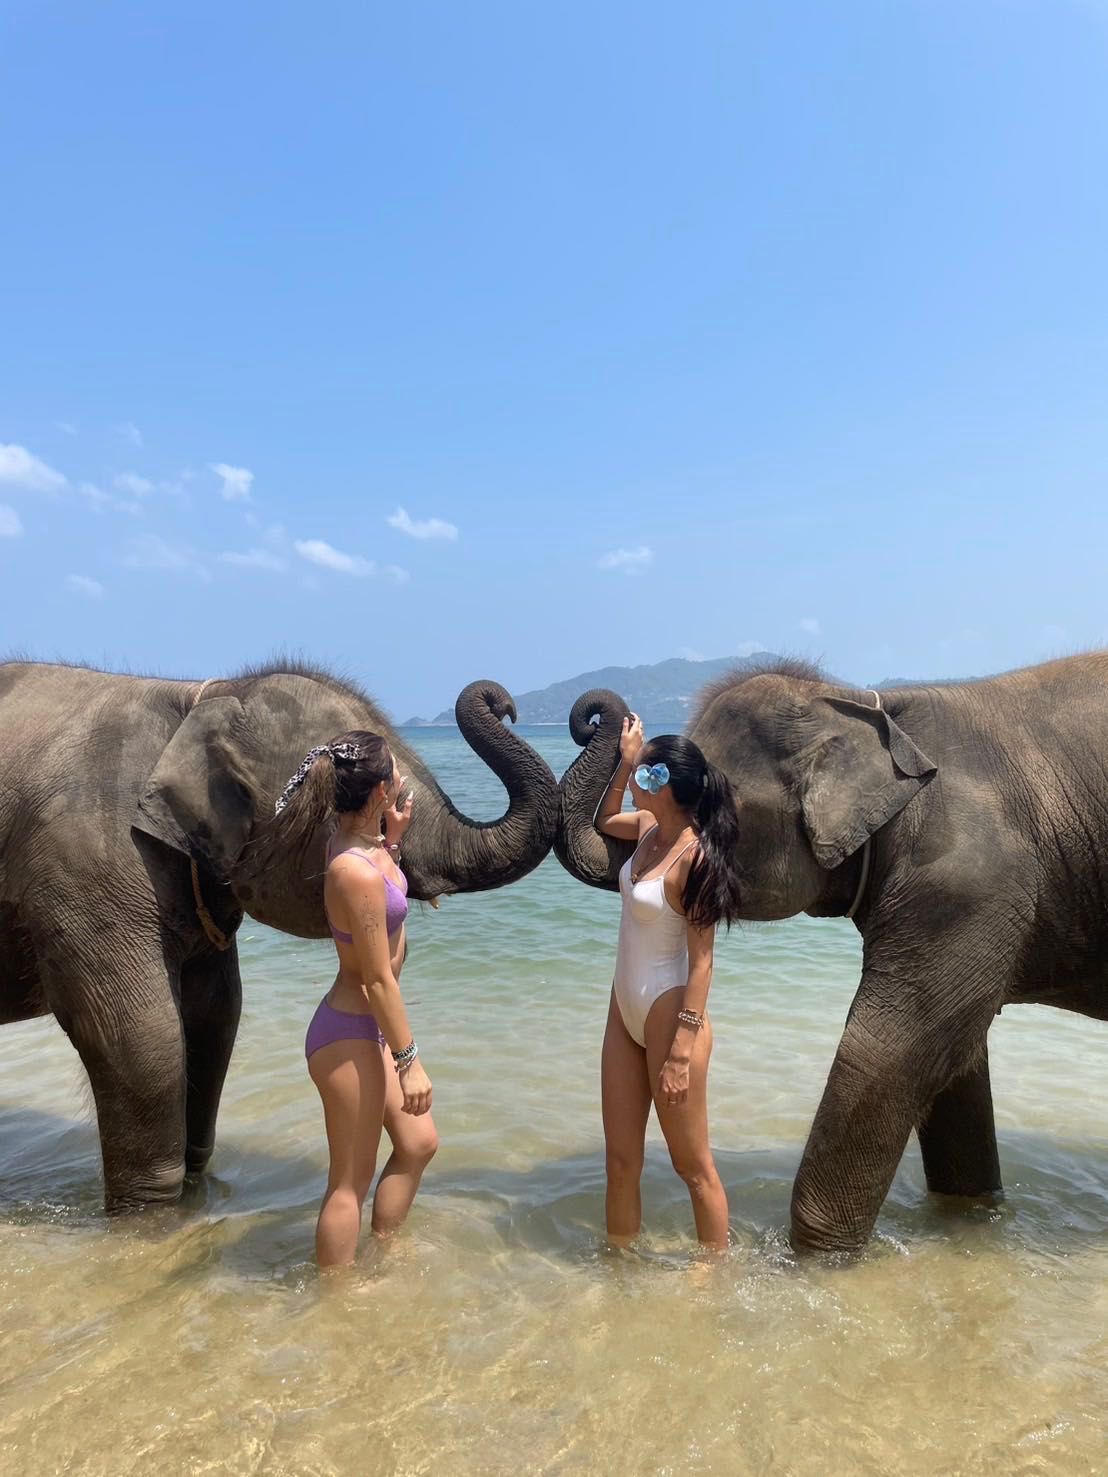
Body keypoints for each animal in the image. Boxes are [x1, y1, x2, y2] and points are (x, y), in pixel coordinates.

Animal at [0, 660, 558, 1210]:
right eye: (389, 807)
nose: (505, 704)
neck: (201, 698)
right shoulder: (85, 876)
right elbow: (142, 1038)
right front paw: (150, 1211)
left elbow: (216, 1015)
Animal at [554, 655, 1108, 1255]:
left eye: (714, 805)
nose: (602, 716)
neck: (869, 709)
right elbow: (956, 1057)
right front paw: (969, 1211)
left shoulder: (967, 880)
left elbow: (891, 1048)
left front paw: (816, 1259)